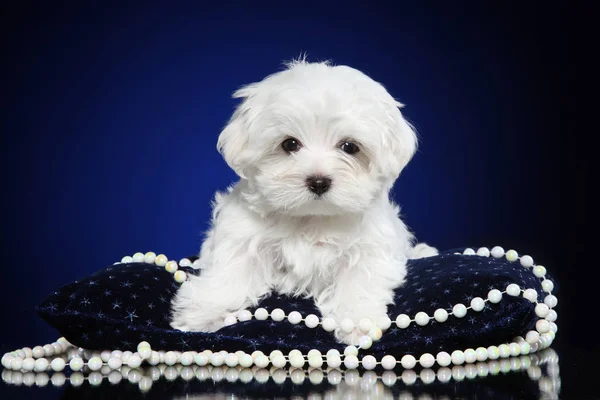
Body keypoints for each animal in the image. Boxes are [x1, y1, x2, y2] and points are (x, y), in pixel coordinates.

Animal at [171, 57, 438, 346]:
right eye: (289, 144)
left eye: (350, 147)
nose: (318, 181)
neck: (311, 216)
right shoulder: (241, 236)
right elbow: (231, 271)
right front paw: (204, 310)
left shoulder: (371, 246)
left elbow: (359, 277)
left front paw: (357, 320)